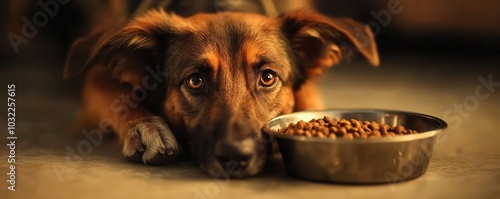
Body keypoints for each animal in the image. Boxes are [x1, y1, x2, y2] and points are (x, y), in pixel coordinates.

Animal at [65, 3, 378, 177]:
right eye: (195, 81)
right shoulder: (94, 78)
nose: (235, 157)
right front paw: (145, 125)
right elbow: (116, 97)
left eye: (267, 77)